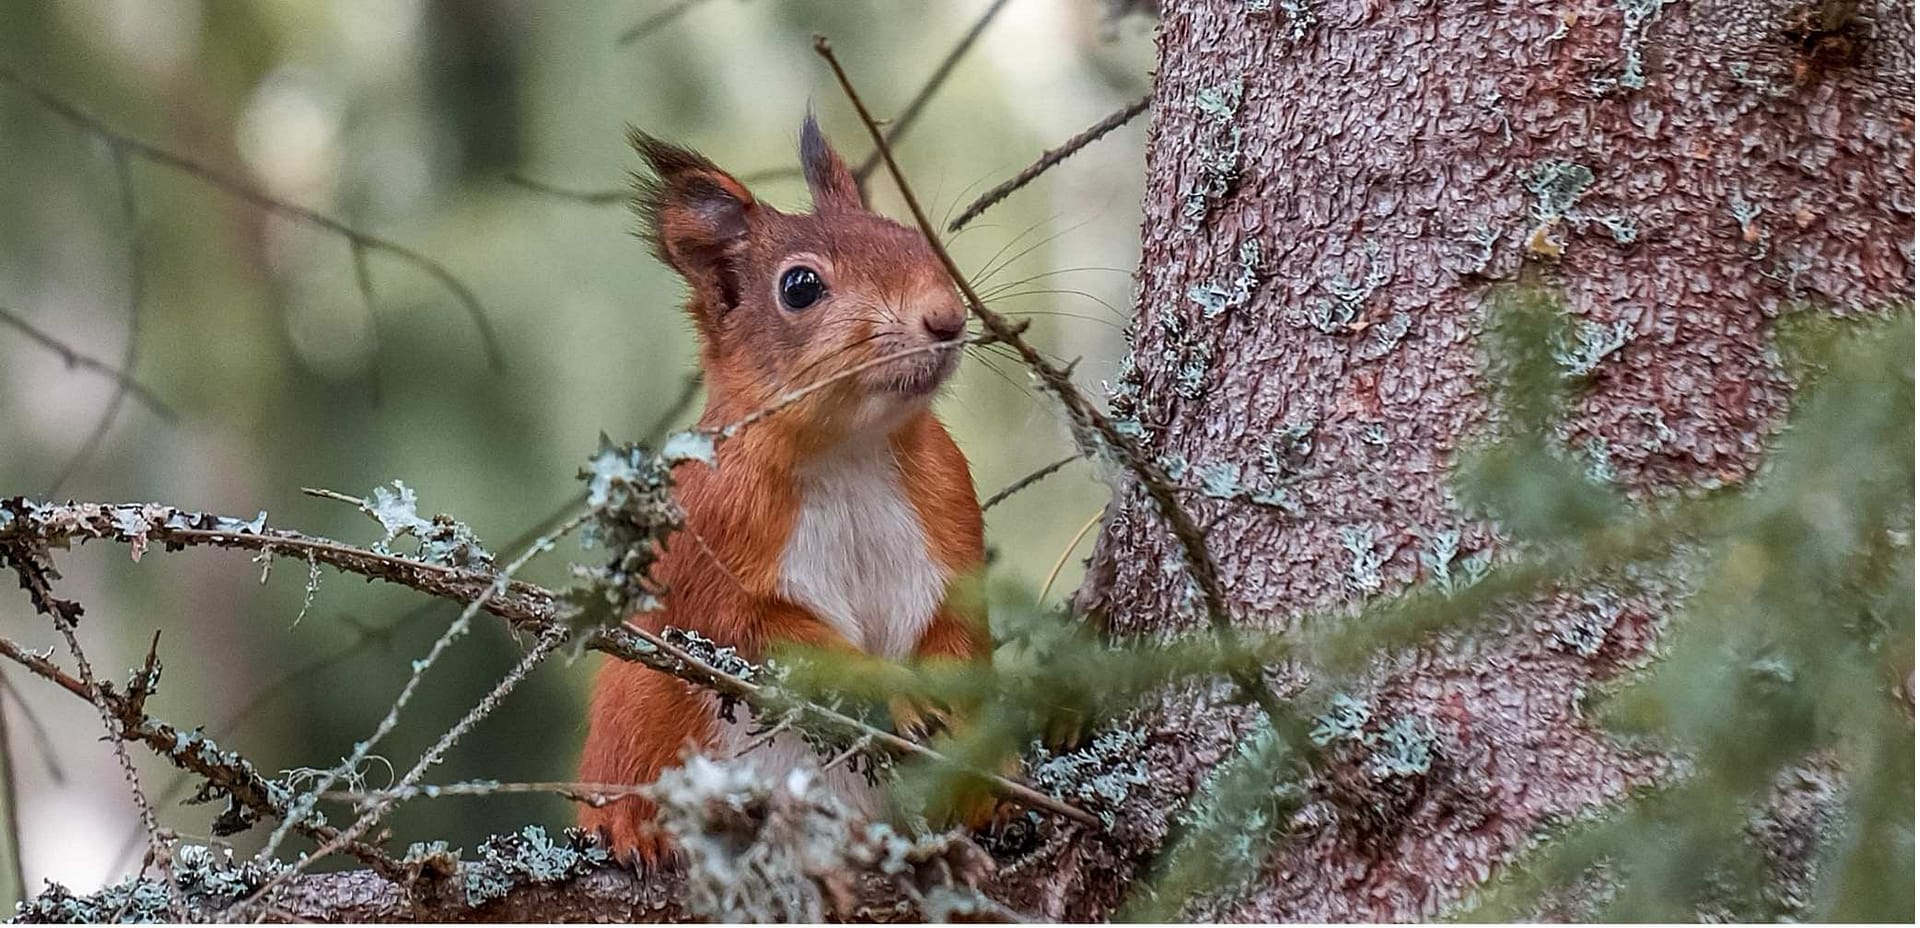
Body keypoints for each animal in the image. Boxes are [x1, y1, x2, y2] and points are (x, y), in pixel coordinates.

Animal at [572, 116, 990, 864]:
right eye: (799, 286)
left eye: (910, 237)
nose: (946, 319)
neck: (849, 452)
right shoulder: (711, 538)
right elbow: (766, 634)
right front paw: (900, 696)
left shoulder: (950, 511)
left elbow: (959, 628)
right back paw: (631, 828)